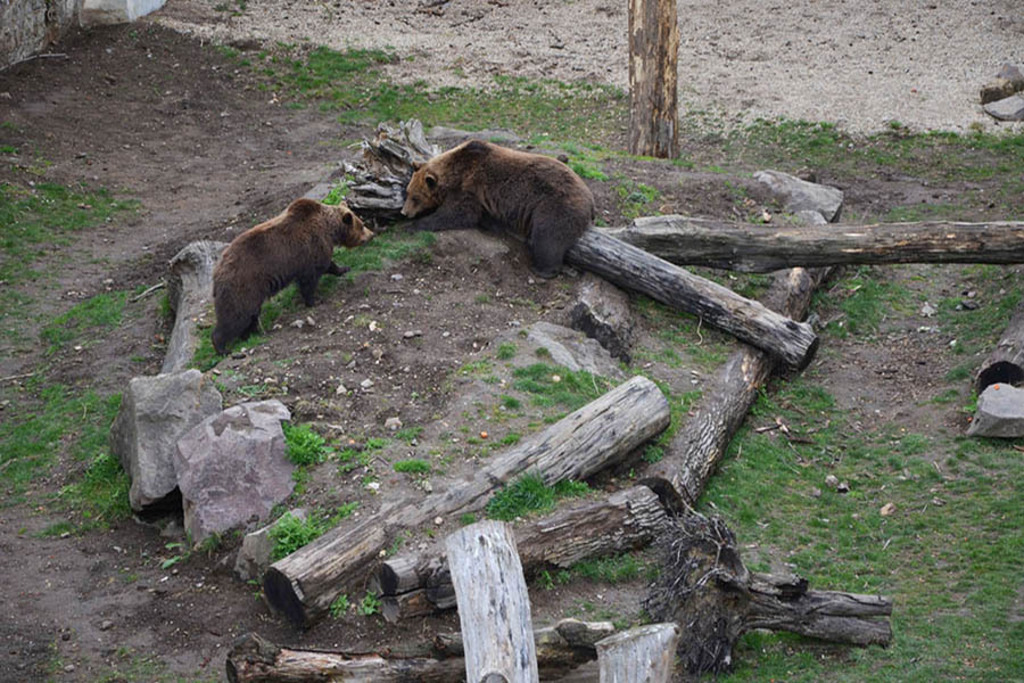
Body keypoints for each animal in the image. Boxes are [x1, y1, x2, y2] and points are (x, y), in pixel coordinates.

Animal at [211, 198, 373, 354]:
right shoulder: (311, 249)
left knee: (251, 315)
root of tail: (217, 272)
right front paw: (314, 301)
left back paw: (251, 334)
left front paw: (344, 268)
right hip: (244, 284)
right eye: (362, 225)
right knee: (237, 315)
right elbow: (312, 277)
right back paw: (222, 347)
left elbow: (328, 266)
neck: (330, 230)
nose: (372, 234)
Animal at [401, 139, 595, 278]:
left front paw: (413, 226)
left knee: (548, 237)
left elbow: (457, 214)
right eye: (407, 192)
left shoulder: (469, 186)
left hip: (556, 204)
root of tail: (589, 198)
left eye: (415, 197)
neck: (453, 171)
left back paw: (543, 269)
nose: (404, 212)